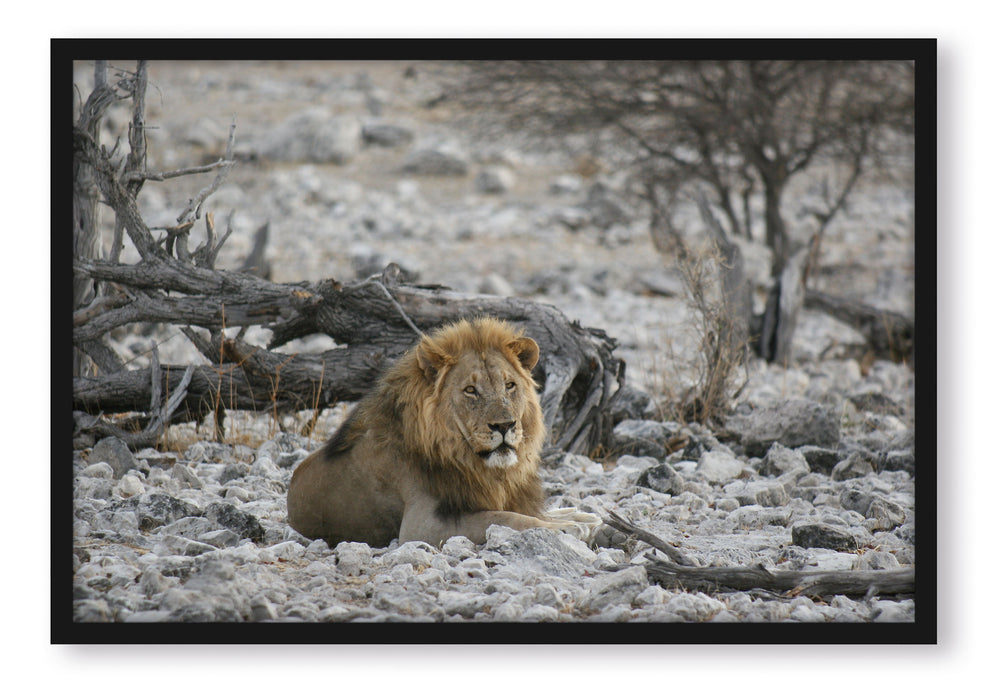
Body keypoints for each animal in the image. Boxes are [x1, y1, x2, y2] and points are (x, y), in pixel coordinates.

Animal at [282, 316, 600, 548]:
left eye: (510, 385)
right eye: (470, 390)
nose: (504, 425)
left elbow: (523, 512)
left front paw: (578, 517)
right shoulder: (421, 526)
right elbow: (506, 518)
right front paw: (571, 527)